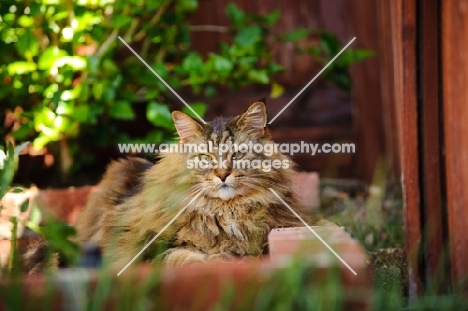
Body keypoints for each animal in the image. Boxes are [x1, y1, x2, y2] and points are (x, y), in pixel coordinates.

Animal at [26, 100, 326, 272]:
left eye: (238, 155)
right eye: (205, 157)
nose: (223, 174)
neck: (228, 212)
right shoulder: (146, 250)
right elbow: (184, 257)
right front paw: (218, 260)